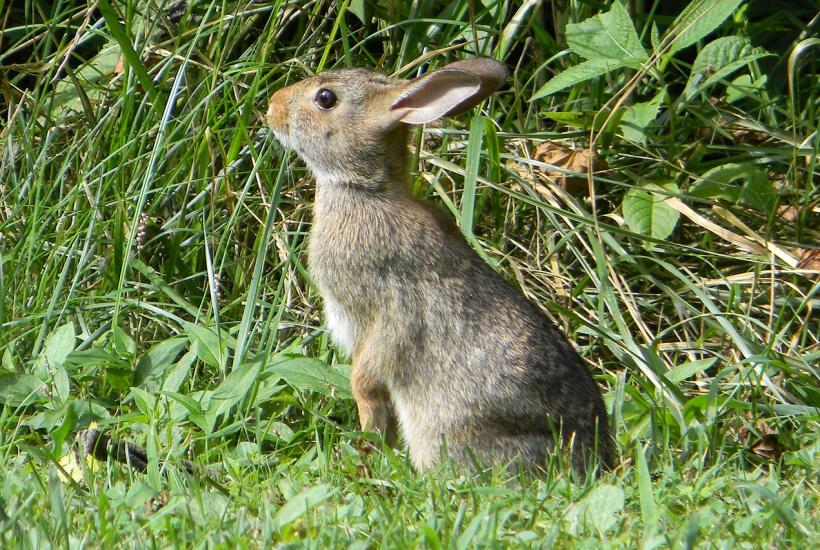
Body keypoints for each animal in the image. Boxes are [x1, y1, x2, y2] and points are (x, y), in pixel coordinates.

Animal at [266, 58, 612, 473]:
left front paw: (369, 448)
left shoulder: (387, 311)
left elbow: (368, 380)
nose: (271, 106)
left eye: (326, 98)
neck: (366, 191)